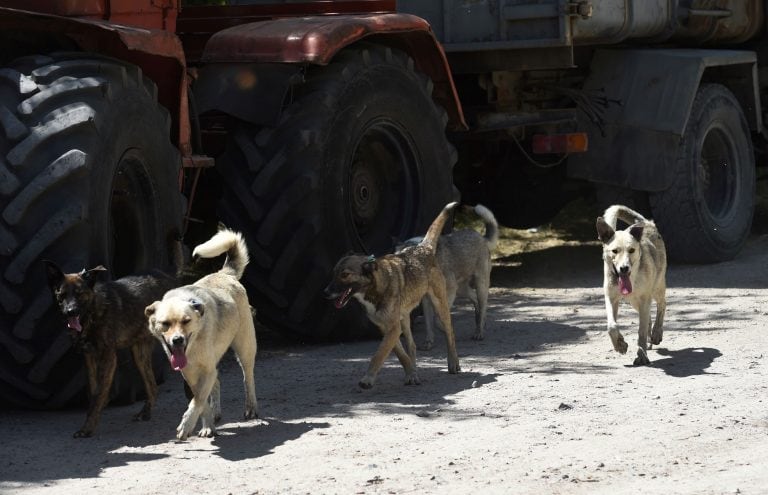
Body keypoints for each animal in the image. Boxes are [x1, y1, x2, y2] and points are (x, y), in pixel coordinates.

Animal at [46, 264, 180, 438]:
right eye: (61, 295)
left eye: (79, 293)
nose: (71, 311)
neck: (93, 312)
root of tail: (171, 277)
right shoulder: (89, 357)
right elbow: (94, 391)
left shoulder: (108, 357)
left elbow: (98, 394)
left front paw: (87, 427)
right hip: (139, 353)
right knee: (152, 386)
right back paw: (145, 412)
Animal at [322, 202, 460, 388]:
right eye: (334, 273)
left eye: (345, 275)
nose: (326, 293)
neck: (375, 288)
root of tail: (423, 247)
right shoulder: (387, 328)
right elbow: (401, 355)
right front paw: (411, 373)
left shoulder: (393, 329)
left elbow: (379, 355)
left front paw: (368, 378)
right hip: (405, 318)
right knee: (412, 346)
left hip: (440, 306)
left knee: (450, 333)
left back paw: (453, 363)